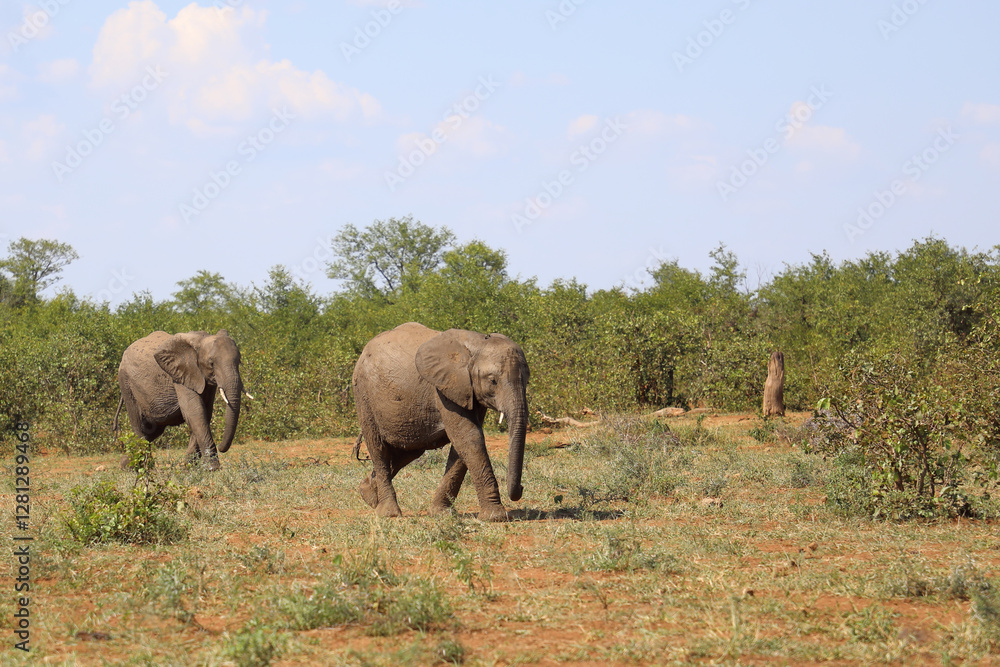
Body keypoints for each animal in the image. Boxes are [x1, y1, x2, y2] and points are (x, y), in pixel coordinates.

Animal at [115, 330, 245, 471]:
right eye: (211, 363)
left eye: (239, 361)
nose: (221, 446)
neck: (202, 339)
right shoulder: (180, 374)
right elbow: (194, 411)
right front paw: (212, 468)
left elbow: (205, 412)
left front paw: (190, 467)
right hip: (126, 384)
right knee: (138, 424)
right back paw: (143, 467)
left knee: (151, 429)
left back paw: (126, 463)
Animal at [353, 322, 530, 521]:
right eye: (493, 381)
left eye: (527, 380)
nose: (521, 488)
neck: (477, 342)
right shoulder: (445, 388)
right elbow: (469, 437)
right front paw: (495, 517)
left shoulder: (469, 390)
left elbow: (462, 445)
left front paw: (440, 512)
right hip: (363, 395)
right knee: (378, 448)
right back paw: (388, 513)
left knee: (408, 452)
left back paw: (368, 494)